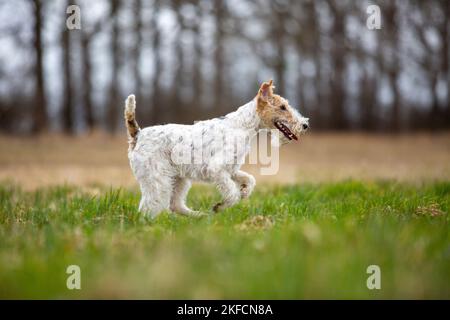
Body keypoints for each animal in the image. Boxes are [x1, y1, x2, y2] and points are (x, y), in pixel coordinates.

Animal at [125, 80, 310, 218]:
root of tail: (138, 135)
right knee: (149, 206)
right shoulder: (217, 169)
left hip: (179, 179)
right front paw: (220, 206)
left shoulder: (232, 169)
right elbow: (232, 193)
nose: (305, 125)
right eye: (283, 107)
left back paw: (199, 216)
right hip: (158, 180)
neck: (242, 126)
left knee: (174, 204)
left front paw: (244, 192)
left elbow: (250, 180)